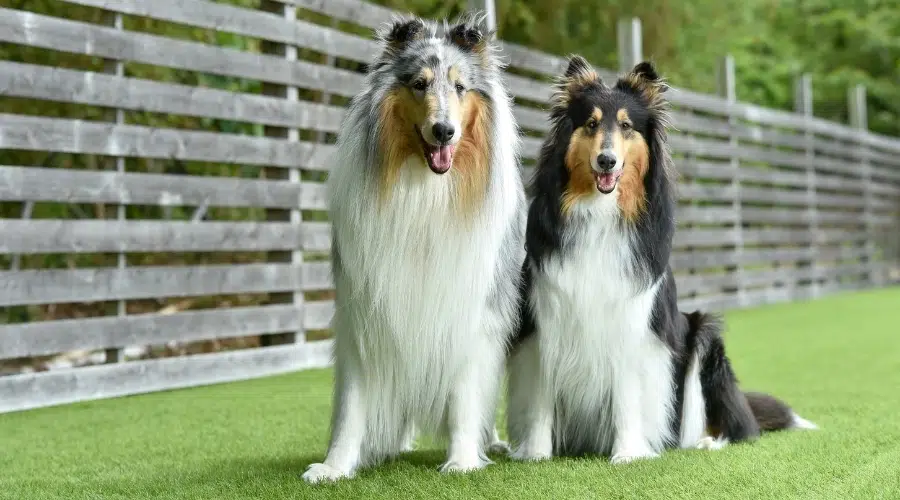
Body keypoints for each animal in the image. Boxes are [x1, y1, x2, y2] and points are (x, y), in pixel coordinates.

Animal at [304, 13, 528, 482]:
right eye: (419, 84)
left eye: (460, 87)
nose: (444, 131)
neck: (425, 189)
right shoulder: (364, 311)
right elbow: (352, 402)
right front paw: (335, 466)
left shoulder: (469, 313)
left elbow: (465, 396)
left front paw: (462, 460)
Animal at [506, 55, 816, 464]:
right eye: (590, 124)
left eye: (626, 126)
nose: (606, 161)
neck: (601, 213)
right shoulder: (546, 321)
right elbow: (540, 399)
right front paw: (537, 456)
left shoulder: (630, 323)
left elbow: (626, 395)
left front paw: (627, 455)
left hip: (703, 336)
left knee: (734, 425)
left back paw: (705, 441)